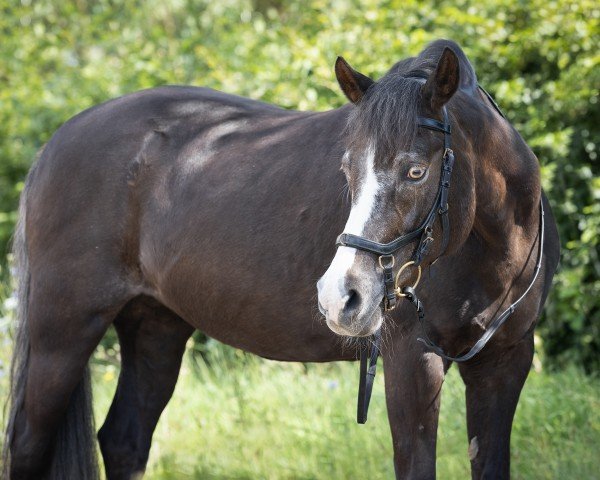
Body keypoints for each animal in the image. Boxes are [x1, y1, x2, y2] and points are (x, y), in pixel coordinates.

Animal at [2, 41, 560, 480]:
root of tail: (56, 142)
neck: (492, 248)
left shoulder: (505, 363)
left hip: (155, 325)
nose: (340, 297)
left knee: (124, 440)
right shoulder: (412, 362)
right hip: (62, 330)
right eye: (346, 169)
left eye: (416, 171)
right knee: (27, 445)